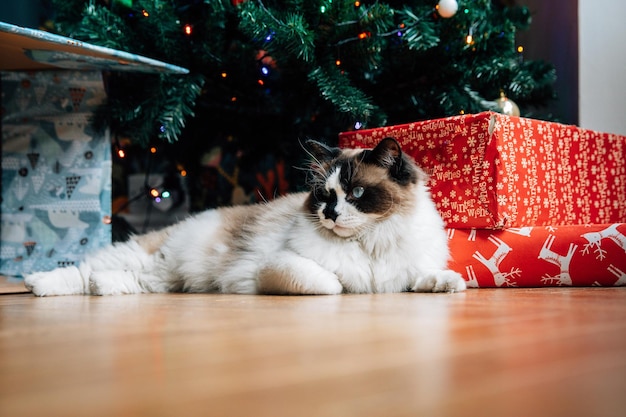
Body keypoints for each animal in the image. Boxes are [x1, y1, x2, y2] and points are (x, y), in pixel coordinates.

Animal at [23, 138, 464, 298]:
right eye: (324, 195)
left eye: (355, 194)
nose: (330, 213)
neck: (370, 241)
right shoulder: (280, 267)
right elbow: (333, 285)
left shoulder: (403, 273)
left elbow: (425, 279)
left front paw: (448, 285)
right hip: (142, 255)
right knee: (80, 272)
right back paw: (36, 283)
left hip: (158, 280)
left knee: (112, 282)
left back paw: (103, 289)